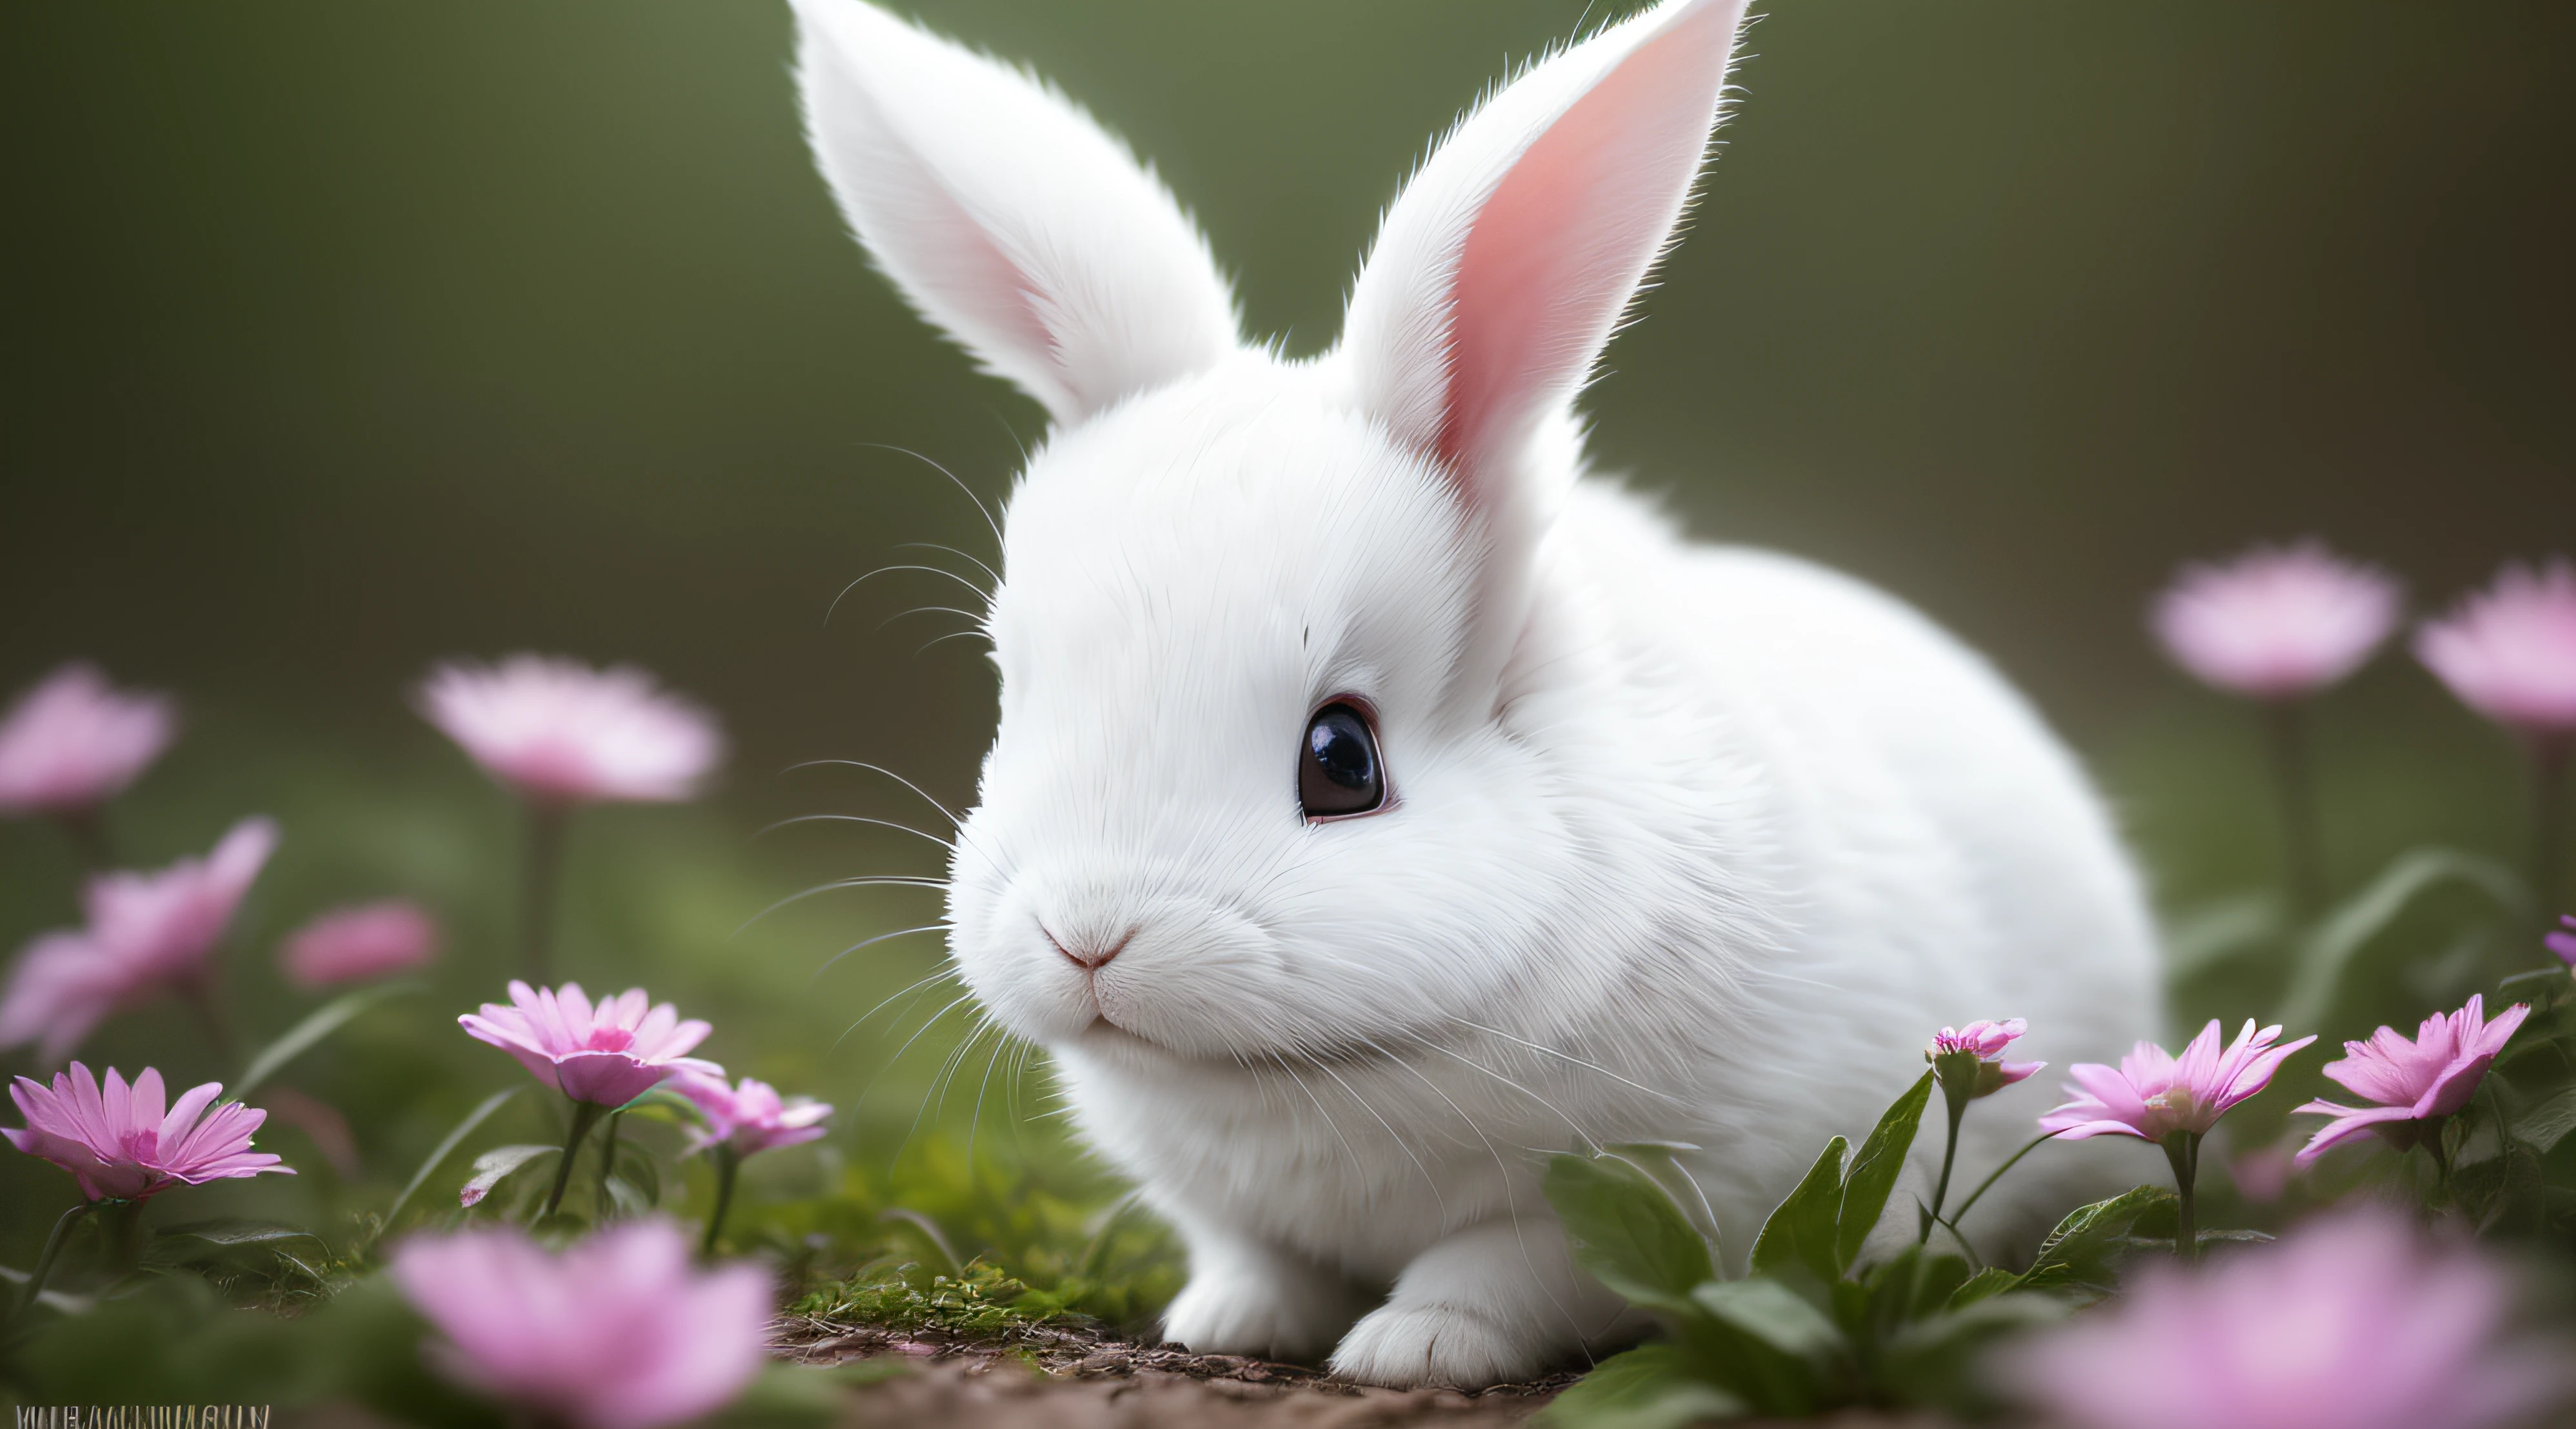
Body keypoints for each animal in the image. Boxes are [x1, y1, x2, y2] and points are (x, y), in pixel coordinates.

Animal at [793, 0, 2164, 1390]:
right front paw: (1225, 1321)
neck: (1303, 1074)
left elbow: (1506, 1268)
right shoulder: (1222, 1203)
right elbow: (1251, 1254)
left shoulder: (1673, 1180)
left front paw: (1411, 1346)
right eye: (1011, 691)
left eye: (1342, 759)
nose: (1086, 938)